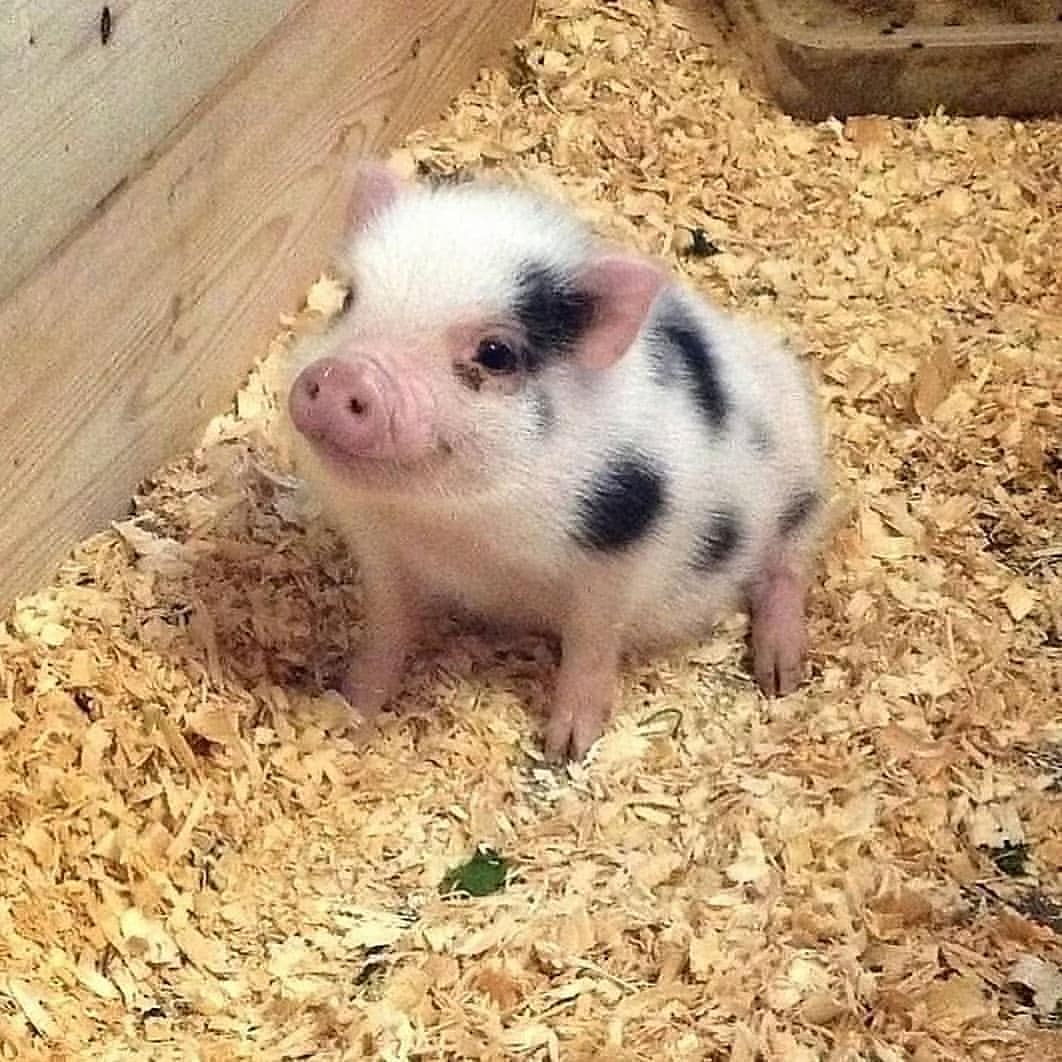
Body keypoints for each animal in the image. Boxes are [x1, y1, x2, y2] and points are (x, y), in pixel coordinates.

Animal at [286, 161, 824, 761]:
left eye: (495, 353)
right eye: (349, 300)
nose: (341, 376)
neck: (454, 528)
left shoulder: (620, 545)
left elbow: (591, 642)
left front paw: (567, 748)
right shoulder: (379, 548)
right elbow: (387, 626)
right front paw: (349, 709)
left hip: (803, 476)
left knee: (788, 564)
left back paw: (780, 677)